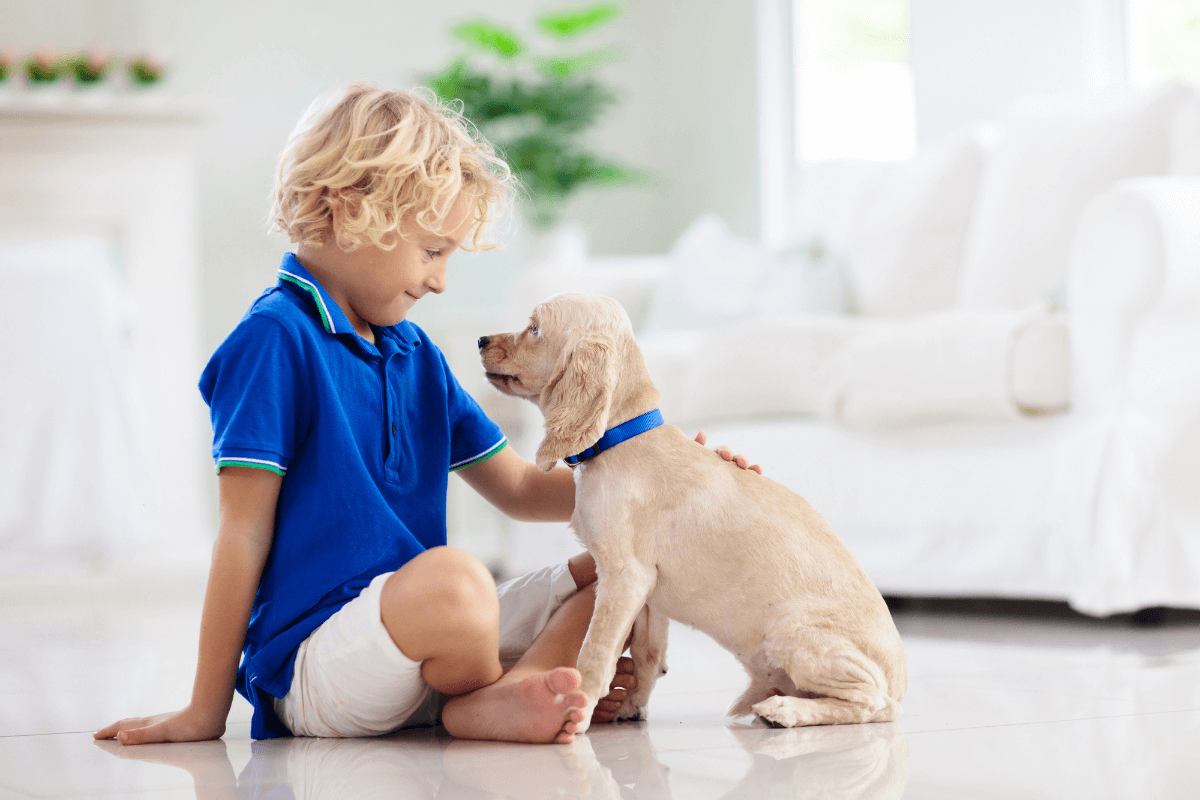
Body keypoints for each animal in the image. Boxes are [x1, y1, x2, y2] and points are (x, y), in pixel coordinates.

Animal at [475, 292, 902, 734]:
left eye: (535, 328)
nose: (480, 340)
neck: (621, 438)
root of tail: (900, 682)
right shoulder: (648, 590)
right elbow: (647, 655)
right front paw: (633, 707)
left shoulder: (625, 576)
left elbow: (595, 654)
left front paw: (577, 713)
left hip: (795, 634)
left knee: (873, 703)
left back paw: (785, 710)